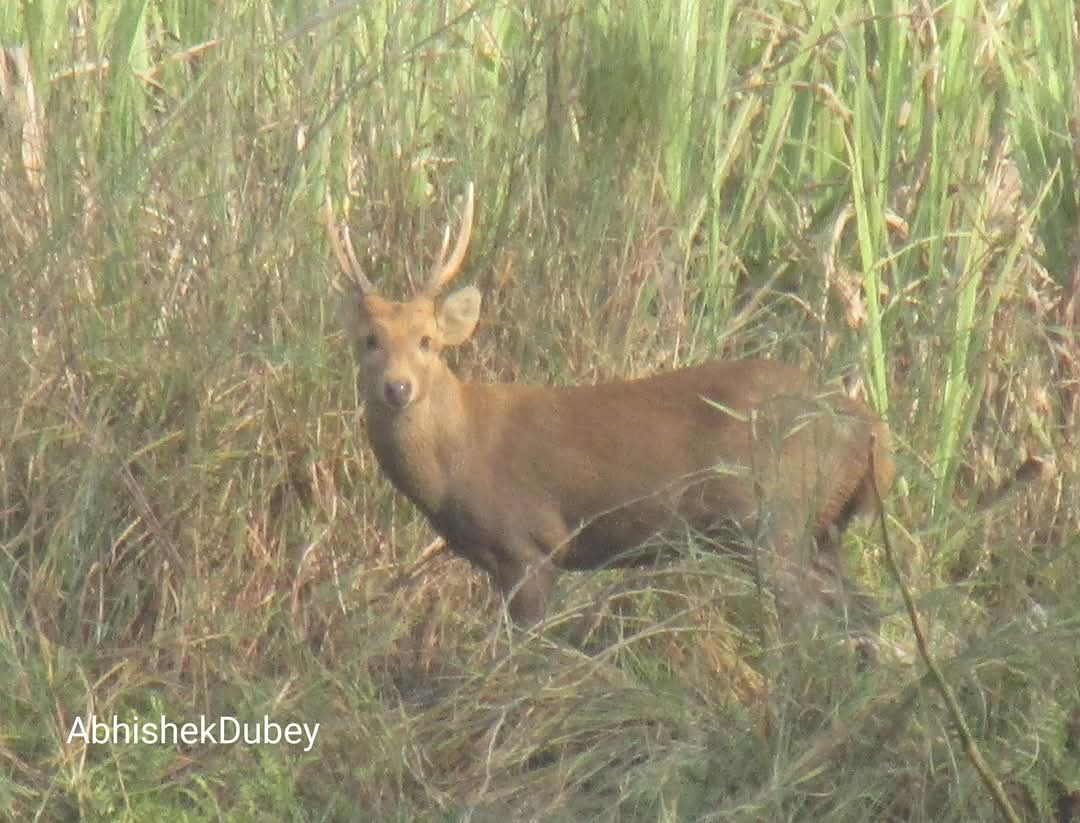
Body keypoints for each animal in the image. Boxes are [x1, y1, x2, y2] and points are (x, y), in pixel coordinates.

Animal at [326, 184, 894, 626]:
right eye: (371, 341)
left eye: (427, 341)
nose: (397, 388)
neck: (456, 460)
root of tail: (869, 427)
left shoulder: (530, 544)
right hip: (822, 528)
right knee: (863, 613)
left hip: (776, 516)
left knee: (820, 617)